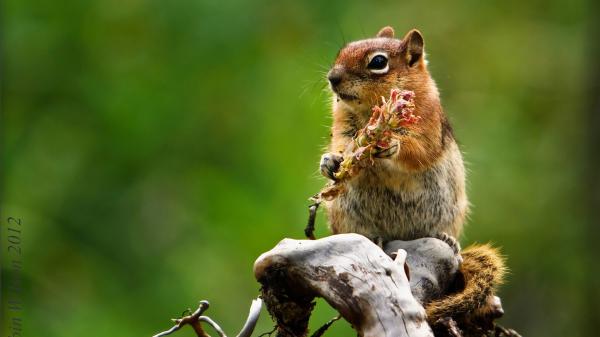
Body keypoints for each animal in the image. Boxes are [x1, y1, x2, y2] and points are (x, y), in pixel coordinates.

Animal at [318, 25, 506, 328]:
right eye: (341, 52)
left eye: (378, 62)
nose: (332, 78)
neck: (371, 110)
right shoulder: (343, 125)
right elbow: (342, 144)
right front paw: (331, 162)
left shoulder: (427, 122)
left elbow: (416, 151)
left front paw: (392, 144)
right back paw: (375, 238)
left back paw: (446, 239)